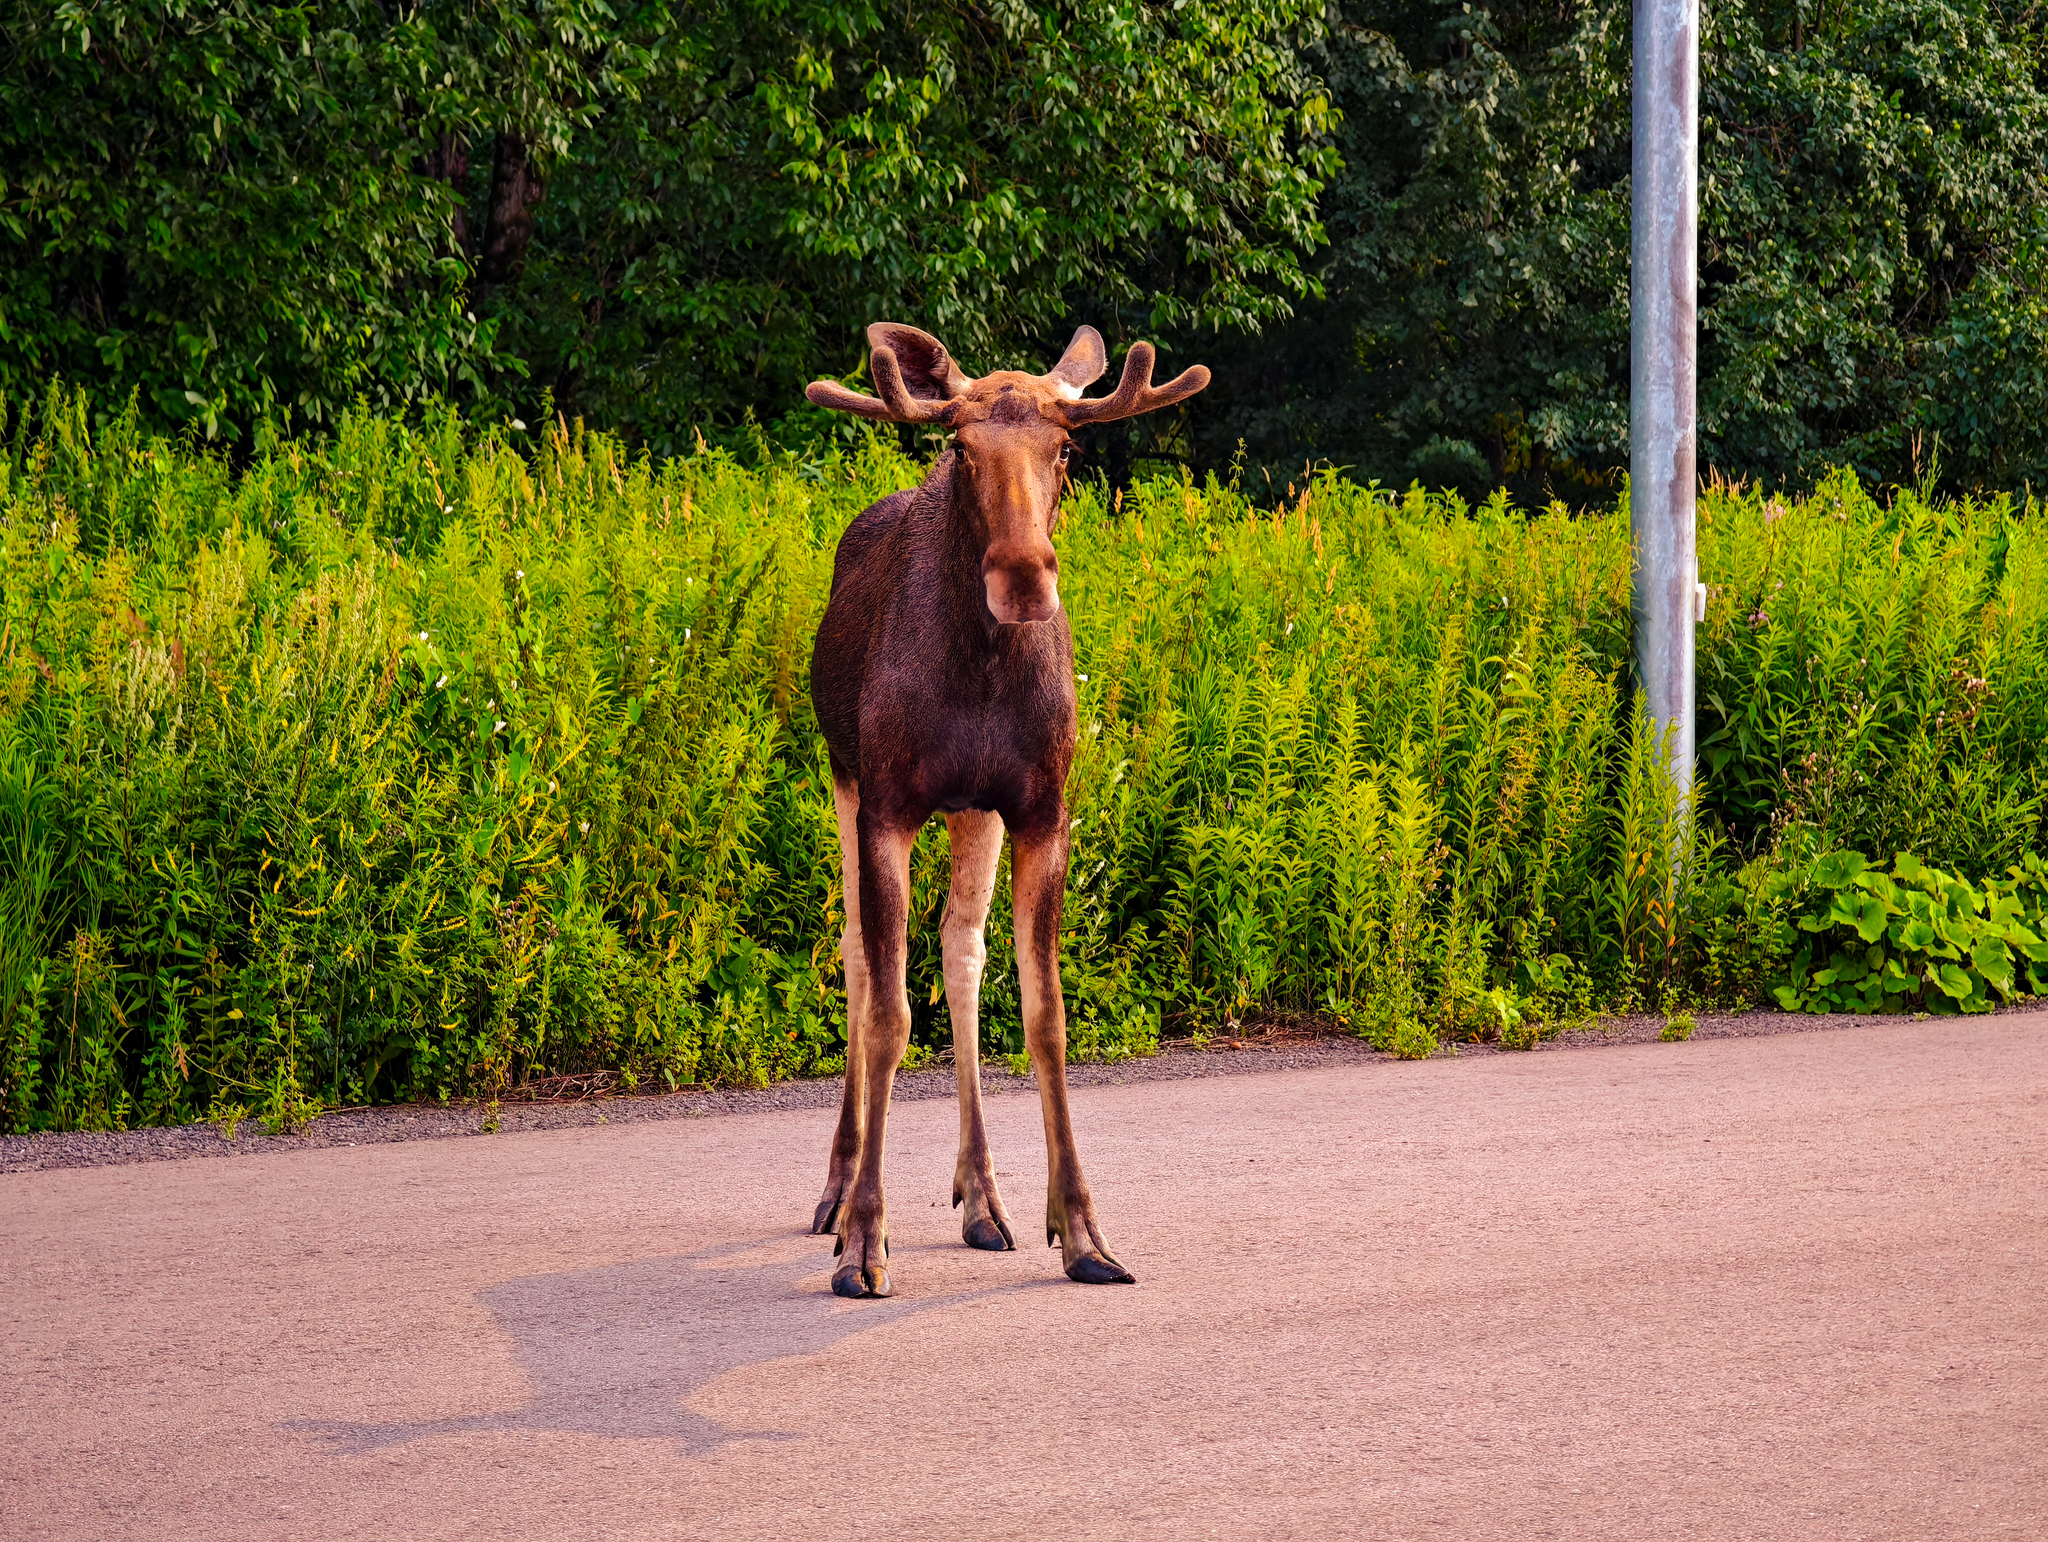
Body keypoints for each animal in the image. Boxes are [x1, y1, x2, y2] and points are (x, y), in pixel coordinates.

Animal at [802, 322, 1209, 1298]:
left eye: (1065, 449)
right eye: (960, 446)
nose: (1023, 577)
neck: (980, 675)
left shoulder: (1040, 808)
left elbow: (1045, 1013)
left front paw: (1084, 1231)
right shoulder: (886, 803)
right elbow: (888, 1014)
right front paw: (865, 1240)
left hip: (972, 810)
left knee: (961, 950)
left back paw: (982, 1197)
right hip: (840, 771)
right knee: (856, 956)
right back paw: (836, 1191)